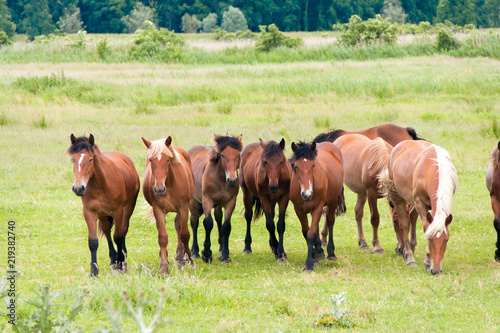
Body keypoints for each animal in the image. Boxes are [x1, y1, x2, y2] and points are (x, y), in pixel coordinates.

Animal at [67, 134, 140, 276]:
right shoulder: (89, 212)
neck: (100, 185)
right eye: (73, 159)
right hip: (102, 214)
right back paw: (113, 259)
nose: (78, 188)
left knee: (123, 231)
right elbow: (93, 242)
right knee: (107, 231)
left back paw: (123, 258)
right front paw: (94, 271)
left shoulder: (118, 211)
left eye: (90, 159)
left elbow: (118, 237)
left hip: (128, 208)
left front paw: (120, 265)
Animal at [143, 136, 195, 274]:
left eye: (167, 160)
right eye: (151, 160)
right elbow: (162, 237)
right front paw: (163, 266)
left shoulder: (183, 208)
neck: (170, 183)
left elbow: (185, 234)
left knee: (179, 227)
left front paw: (190, 260)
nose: (159, 189)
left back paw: (181, 258)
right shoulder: (158, 209)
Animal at [188, 134, 243, 262]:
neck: (221, 179)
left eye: (238, 154)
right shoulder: (207, 200)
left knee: (218, 218)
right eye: (222, 155)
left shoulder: (230, 202)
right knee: (194, 222)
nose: (232, 180)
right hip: (193, 202)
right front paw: (207, 253)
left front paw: (225, 256)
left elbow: (226, 227)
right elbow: (208, 223)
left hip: (218, 205)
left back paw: (221, 248)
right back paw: (195, 252)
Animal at [290, 140, 344, 270]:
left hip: (332, 202)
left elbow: (311, 234)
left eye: (313, 165)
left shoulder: (318, 207)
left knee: (330, 222)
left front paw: (309, 263)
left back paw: (331, 253)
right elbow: (306, 232)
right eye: (296, 166)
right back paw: (319, 251)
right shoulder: (298, 209)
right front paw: (315, 257)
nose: (307, 194)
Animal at [378, 139, 458, 272]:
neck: (433, 168)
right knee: (405, 225)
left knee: (412, 217)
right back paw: (409, 257)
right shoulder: (420, 202)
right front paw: (427, 262)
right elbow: (426, 227)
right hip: (399, 198)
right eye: (430, 239)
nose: (436, 270)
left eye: (446, 240)